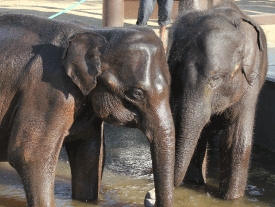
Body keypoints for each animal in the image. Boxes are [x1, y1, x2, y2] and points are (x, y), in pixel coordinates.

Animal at [0, 13, 176, 206]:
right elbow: (29, 155)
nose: (149, 197)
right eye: (136, 94)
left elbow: (89, 154)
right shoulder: (48, 91)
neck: (100, 33)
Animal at [167, 0, 268, 201]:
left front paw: (231, 199)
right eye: (173, 77)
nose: (150, 195)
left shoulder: (250, 82)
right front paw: (193, 184)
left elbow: (236, 142)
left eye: (215, 79)